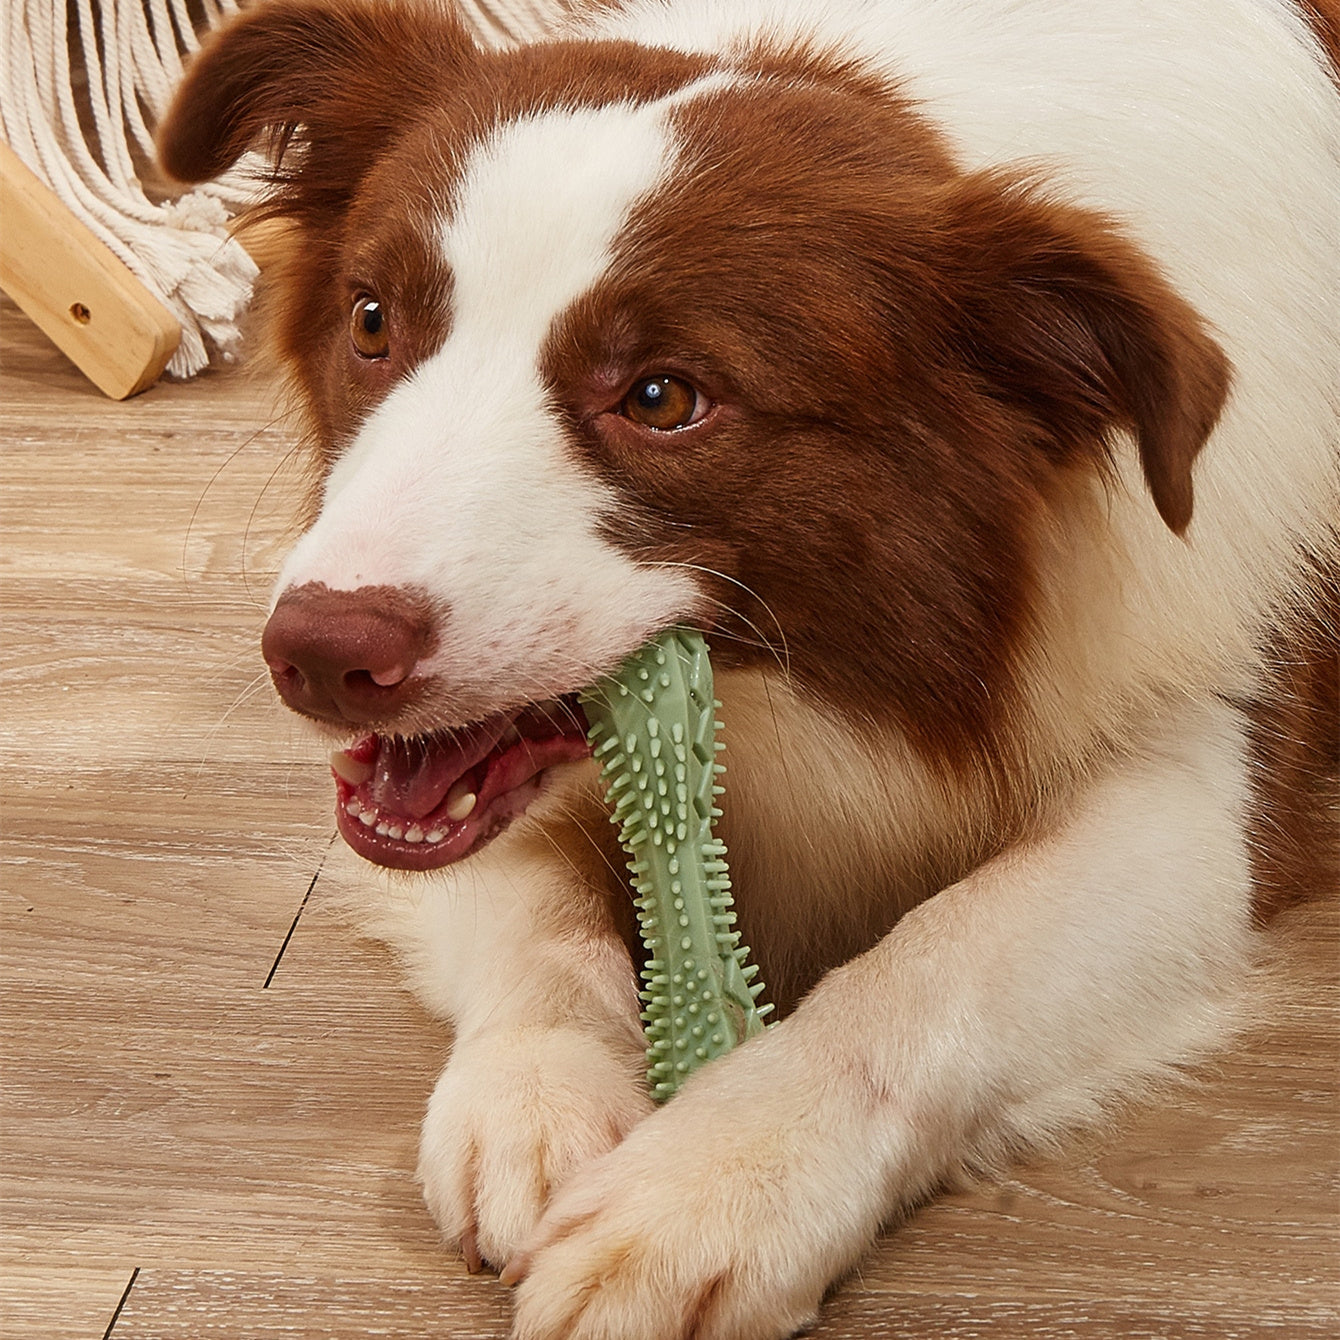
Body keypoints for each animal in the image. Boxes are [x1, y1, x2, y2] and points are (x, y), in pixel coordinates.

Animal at [159, 0, 1340, 1334]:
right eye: (371, 321)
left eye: (663, 396)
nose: (316, 652)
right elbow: (528, 903)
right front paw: (535, 1092)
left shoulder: (1204, 762)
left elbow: (937, 963)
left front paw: (705, 1190)